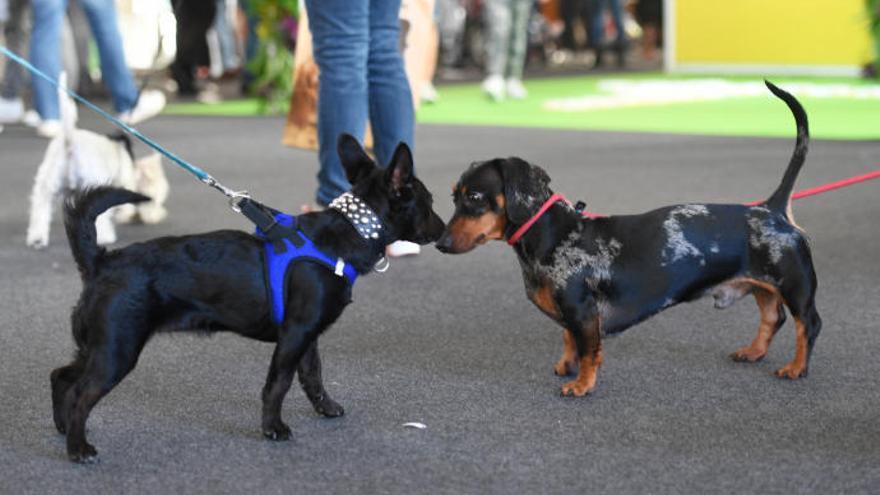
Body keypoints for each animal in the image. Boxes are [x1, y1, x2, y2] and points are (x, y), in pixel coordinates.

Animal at [27, 74, 168, 248]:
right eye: (155, 199)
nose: (158, 215)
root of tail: (70, 143)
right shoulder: (124, 181)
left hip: (47, 186)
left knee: (40, 210)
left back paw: (37, 238)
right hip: (92, 184)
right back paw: (106, 237)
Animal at [51, 135, 444, 462]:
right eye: (429, 203)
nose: (443, 231)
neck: (344, 235)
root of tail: (101, 261)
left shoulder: (307, 337)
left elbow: (313, 376)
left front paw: (326, 408)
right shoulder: (295, 335)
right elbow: (278, 384)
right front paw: (273, 428)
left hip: (98, 347)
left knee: (61, 377)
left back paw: (62, 427)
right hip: (117, 351)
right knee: (82, 394)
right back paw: (78, 448)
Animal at [436, 82, 820, 400]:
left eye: (474, 197)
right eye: (455, 196)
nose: (439, 243)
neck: (556, 235)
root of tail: (771, 209)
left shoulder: (582, 309)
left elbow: (589, 351)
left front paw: (581, 384)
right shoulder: (572, 314)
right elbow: (569, 340)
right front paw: (567, 366)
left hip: (795, 286)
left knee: (807, 325)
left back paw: (796, 368)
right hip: (763, 286)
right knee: (772, 318)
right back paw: (753, 352)